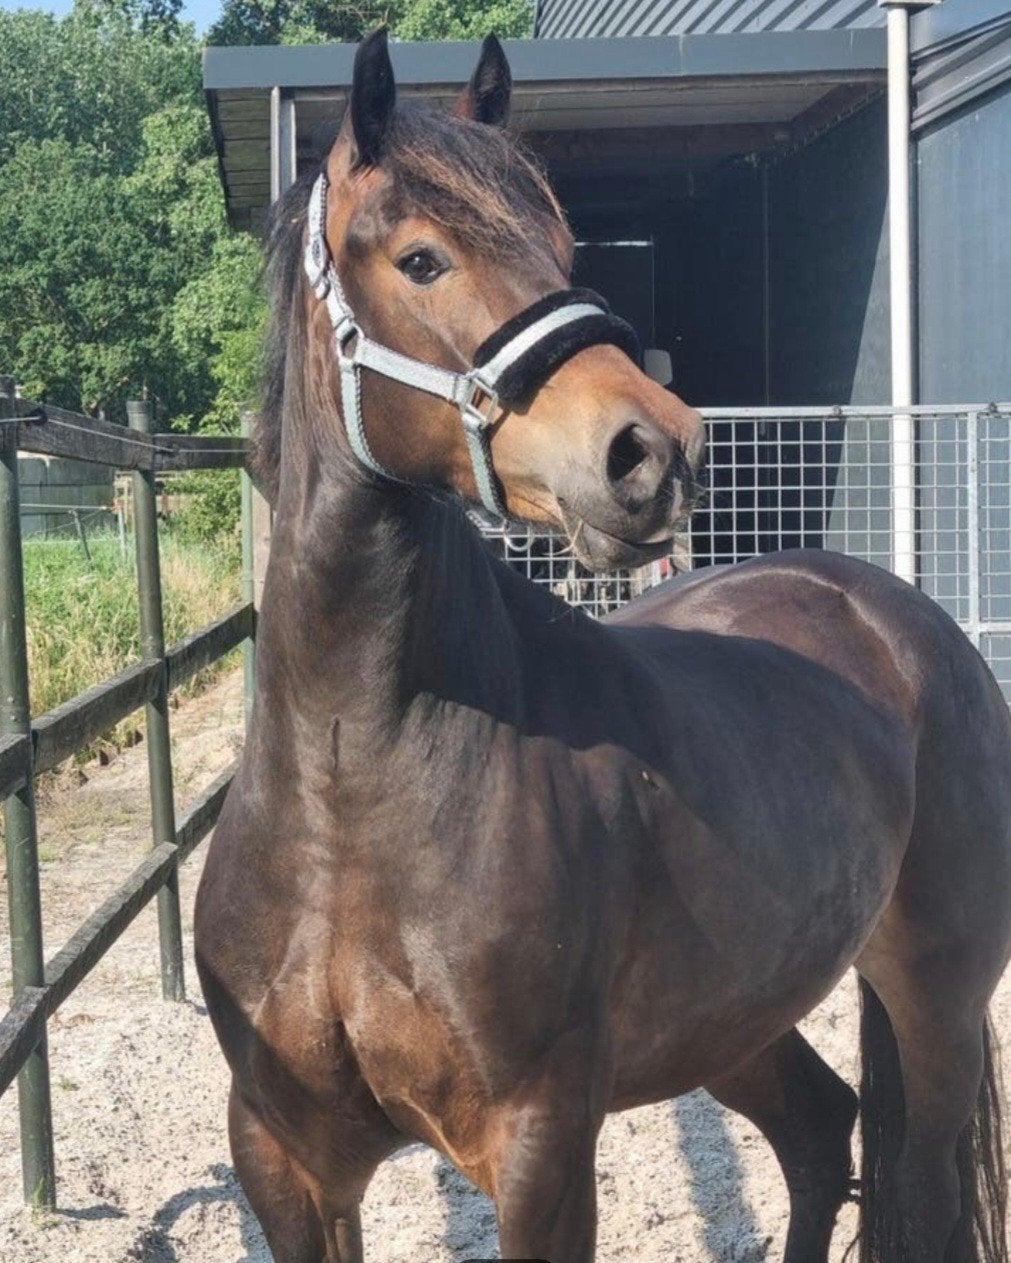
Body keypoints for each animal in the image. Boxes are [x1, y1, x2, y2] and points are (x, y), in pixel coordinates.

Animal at [195, 30, 1011, 1263]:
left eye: (562, 245)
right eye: (421, 259)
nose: (657, 450)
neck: (352, 800)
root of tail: (905, 619)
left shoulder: (538, 1148)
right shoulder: (285, 1161)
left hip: (939, 996)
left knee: (912, 1185)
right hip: (735, 1016)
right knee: (819, 1132)